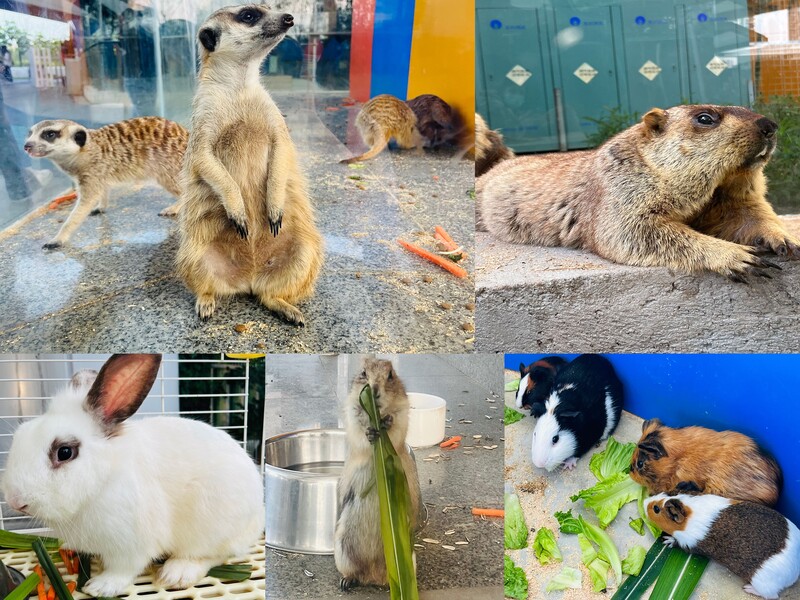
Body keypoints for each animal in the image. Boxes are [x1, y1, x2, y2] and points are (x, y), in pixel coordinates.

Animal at [3, 354, 266, 596]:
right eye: (20, 433)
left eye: (65, 452)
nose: (15, 501)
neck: (103, 482)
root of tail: (257, 516)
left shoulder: (130, 544)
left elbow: (124, 569)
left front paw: (100, 587)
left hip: (211, 528)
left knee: (214, 555)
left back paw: (176, 573)